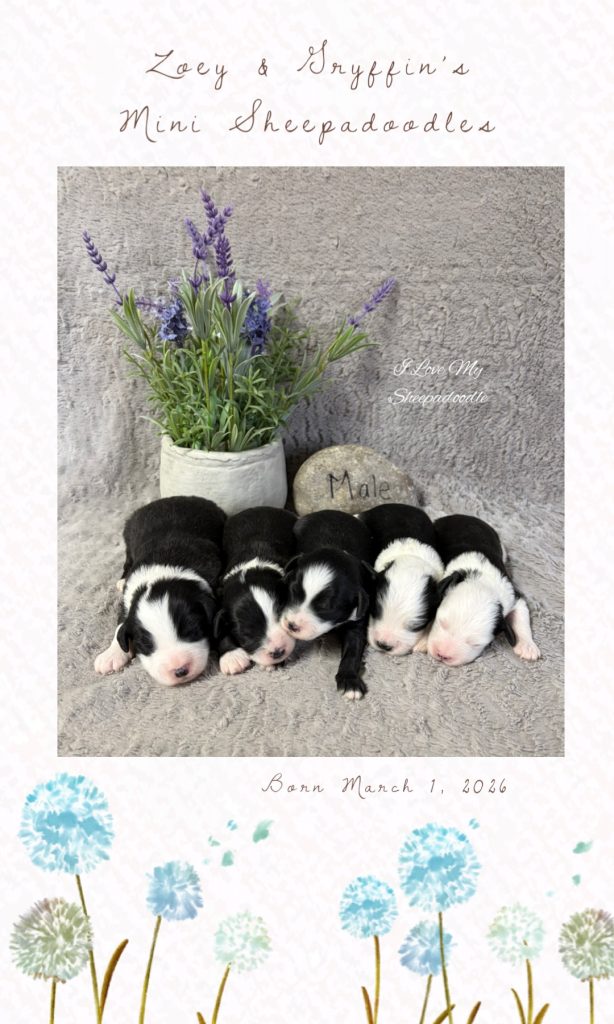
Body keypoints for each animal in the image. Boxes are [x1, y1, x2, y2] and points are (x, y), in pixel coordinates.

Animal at [94, 496, 225, 686]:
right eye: (147, 645)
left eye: (192, 630)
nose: (180, 670)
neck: (163, 571)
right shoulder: (127, 600)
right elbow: (120, 625)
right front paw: (110, 655)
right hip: (128, 540)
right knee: (127, 562)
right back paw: (121, 580)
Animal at [282, 510, 374, 700]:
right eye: (293, 591)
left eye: (325, 608)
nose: (292, 625)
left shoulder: (357, 621)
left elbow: (352, 651)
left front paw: (350, 681)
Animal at [420, 513, 541, 666]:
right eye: (441, 622)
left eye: (475, 643)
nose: (442, 655)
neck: (483, 582)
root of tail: (463, 516)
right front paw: (423, 640)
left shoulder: (514, 596)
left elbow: (522, 618)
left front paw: (527, 646)